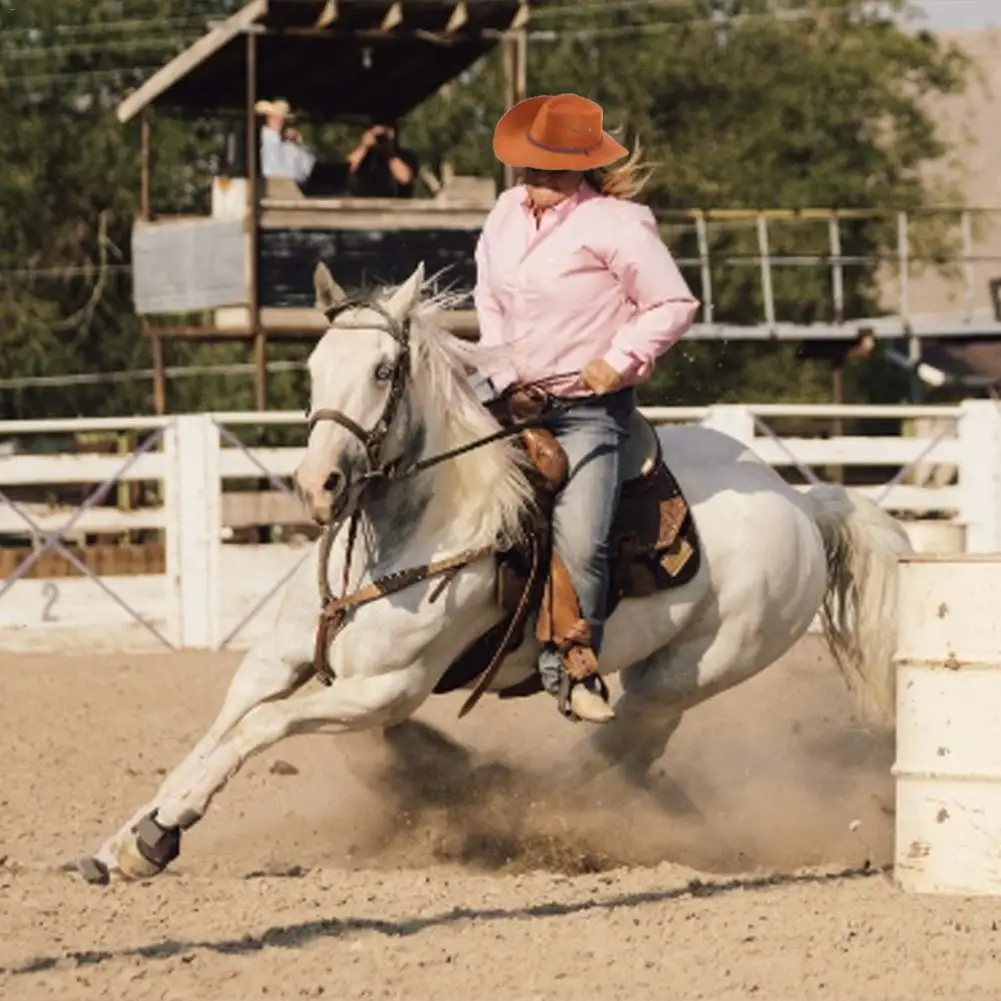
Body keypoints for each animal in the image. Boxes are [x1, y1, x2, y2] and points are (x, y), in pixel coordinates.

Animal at [76, 260, 908, 884]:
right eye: (312, 365)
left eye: (384, 369)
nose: (318, 484)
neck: (410, 532)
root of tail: (798, 501)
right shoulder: (276, 657)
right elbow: (222, 727)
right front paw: (130, 838)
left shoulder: (385, 690)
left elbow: (261, 726)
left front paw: (161, 830)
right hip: (664, 674)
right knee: (635, 750)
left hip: (700, 667)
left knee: (609, 746)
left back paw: (505, 804)